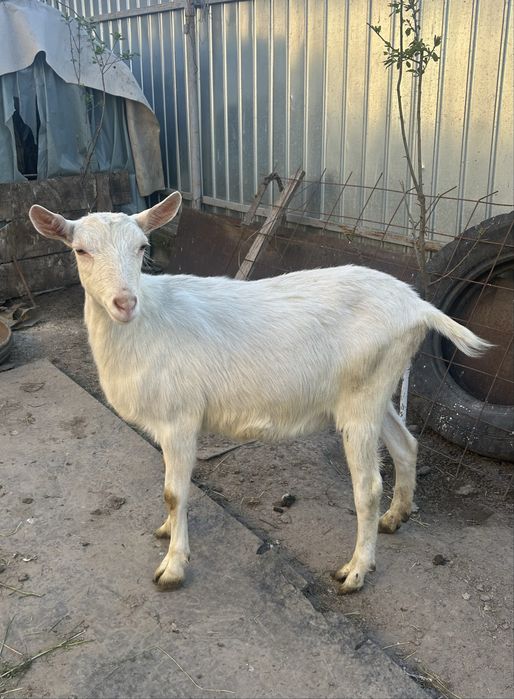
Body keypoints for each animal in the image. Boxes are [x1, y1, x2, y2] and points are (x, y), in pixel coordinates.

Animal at [29, 193, 490, 593]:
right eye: (80, 251)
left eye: (142, 248)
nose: (125, 302)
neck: (146, 325)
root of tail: (418, 306)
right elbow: (171, 493)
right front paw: (166, 530)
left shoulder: (180, 419)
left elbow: (174, 492)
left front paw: (173, 567)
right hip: (374, 389)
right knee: (406, 445)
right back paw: (395, 517)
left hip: (362, 399)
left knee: (368, 487)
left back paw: (356, 571)